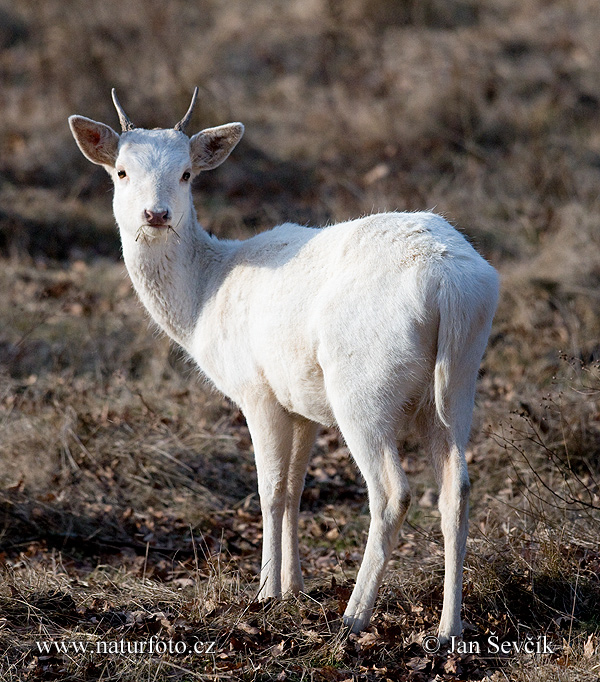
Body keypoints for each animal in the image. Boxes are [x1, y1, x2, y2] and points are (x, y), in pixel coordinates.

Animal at [68, 89, 500, 636]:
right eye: (122, 171)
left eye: (186, 173)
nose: (156, 214)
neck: (203, 300)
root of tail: (450, 284)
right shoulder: (302, 404)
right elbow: (295, 489)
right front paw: (295, 587)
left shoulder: (257, 391)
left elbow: (269, 490)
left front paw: (265, 594)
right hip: (458, 383)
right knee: (456, 489)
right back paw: (448, 628)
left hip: (363, 387)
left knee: (392, 492)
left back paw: (354, 616)